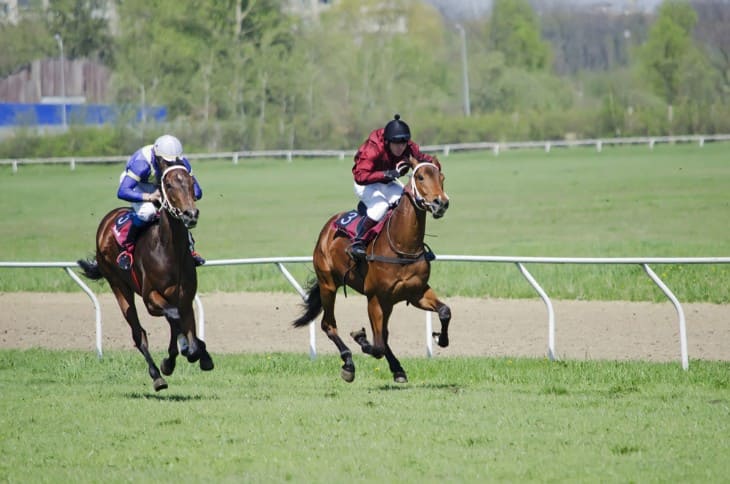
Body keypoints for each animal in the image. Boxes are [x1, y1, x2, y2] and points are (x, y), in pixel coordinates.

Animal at [78, 161, 212, 392]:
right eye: (168, 184)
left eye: (191, 181)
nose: (190, 214)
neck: (170, 251)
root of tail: (109, 218)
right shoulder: (151, 298)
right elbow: (175, 318)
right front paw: (174, 358)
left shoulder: (184, 296)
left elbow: (184, 324)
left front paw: (197, 352)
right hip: (118, 285)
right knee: (138, 333)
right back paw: (157, 375)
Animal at [290, 157, 450, 384]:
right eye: (420, 177)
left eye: (441, 177)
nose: (441, 203)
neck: (402, 246)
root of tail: (328, 226)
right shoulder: (374, 298)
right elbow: (377, 346)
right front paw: (360, 337)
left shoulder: (416, 292)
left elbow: (445, 311)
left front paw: (440, 338)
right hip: (328, 284)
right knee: (328, 325)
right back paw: (348, 363)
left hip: (387, 303)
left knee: (383, 334)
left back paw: (397, 369)